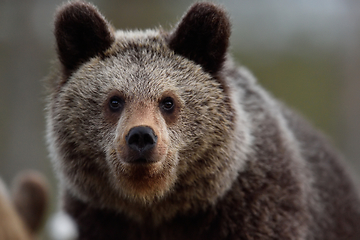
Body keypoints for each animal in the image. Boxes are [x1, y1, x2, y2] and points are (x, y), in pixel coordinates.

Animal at [46, 0, 360, 239]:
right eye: (114, 100)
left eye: (168, 101)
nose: (141, 136)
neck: (154, 206)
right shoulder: (98, 216)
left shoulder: (257, 208)